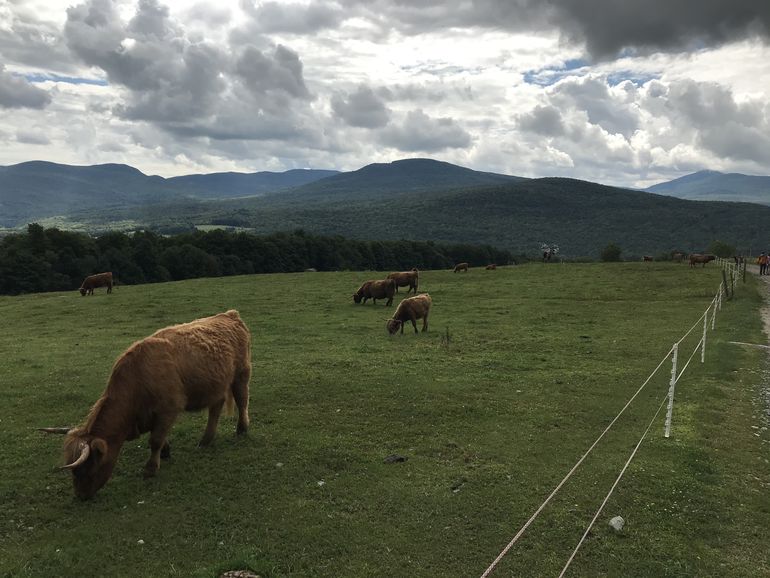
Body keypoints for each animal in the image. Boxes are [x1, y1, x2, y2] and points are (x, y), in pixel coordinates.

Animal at [40, 308, 250, 498]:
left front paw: (150, 468)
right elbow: (160, 436)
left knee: (242, 401)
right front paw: (165, 452)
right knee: (216, 407)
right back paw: (206, 439)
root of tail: (229, 314)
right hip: (216, 384)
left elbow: (155, 439)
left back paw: (241, 429)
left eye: (88, 467)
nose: (80, 496)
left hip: (242, 373)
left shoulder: (168, 409)